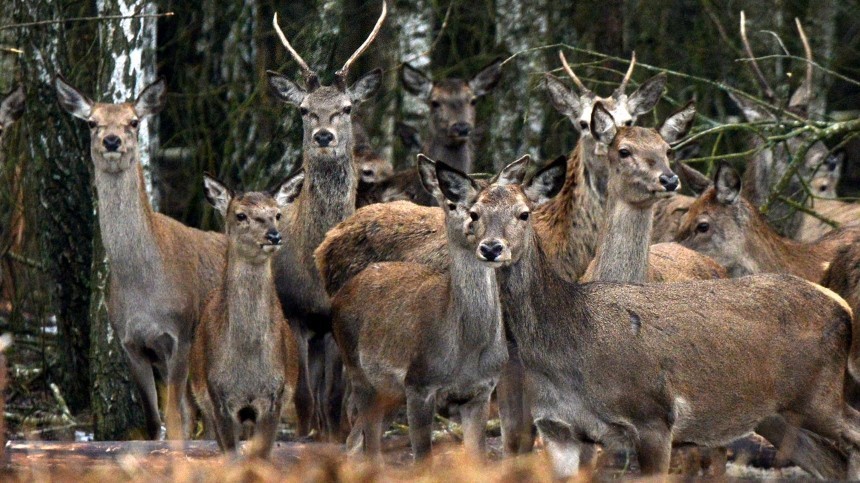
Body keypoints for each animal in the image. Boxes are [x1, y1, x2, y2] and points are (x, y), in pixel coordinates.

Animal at [55, 76, 227, 442]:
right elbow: (155, 422)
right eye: (91, 122)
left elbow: (175, 418)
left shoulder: (180, 336)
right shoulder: (131, 344)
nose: (112, 140)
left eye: (134, 121)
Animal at [190, 173, 304, 458]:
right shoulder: (218, 396)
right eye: (240, 215)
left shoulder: (275, 396)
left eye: (277, 214)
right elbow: (230, 454)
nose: (274, 236)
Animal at [266, 0, 386, 440]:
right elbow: (302, 397)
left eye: (347, 108)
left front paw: (332, 440)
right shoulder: (295, 313)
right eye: (304, 110)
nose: (323, 136)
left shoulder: (335, 318)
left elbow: (334, 400)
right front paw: (305, 439)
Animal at [332, 154, 560, 462]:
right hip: (359, 372)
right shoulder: (419, 385)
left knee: (359, 439)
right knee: (364, 443)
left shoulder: (480, 391)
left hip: (389, 391)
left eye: (523, 213)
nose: (490, 247)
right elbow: (423, 461)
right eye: (473, 212)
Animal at [470, 163, 860, 480]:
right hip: (776, 412)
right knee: (833, 462)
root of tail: (841, 306)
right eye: (474, 213)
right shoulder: (557, 429)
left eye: (524, 214)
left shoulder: (654, 416)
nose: (491, 248)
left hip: (820, 395)